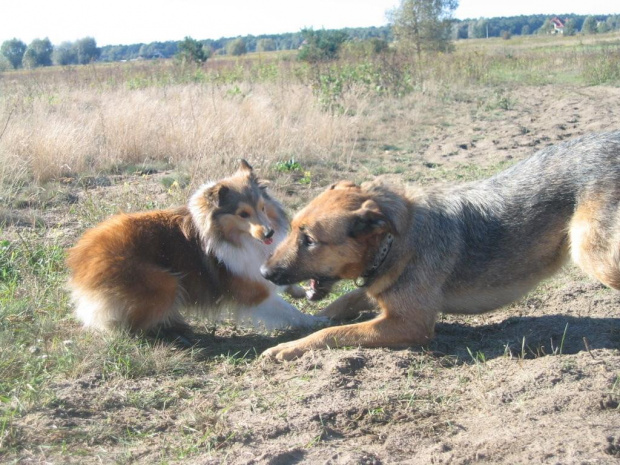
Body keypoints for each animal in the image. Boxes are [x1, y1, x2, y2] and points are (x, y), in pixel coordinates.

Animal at [66, 160, 322, 334]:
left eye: (261, 207)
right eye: (242, 214)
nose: (269, 233)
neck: (233, 236)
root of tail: (80, 260)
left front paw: (298, 290)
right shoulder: (253, 294)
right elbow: (288, 311)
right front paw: (315, 321)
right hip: (165, 282)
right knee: (126, 326)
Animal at [260, 132, 620, 360]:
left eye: (309, 240)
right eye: (292, 229)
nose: (263, 272)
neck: (394, 242)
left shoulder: (410, 323)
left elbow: (337, 333)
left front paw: (288, 347)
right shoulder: (382, 292)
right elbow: (342, 303)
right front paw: (311, 321)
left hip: (592, 256)